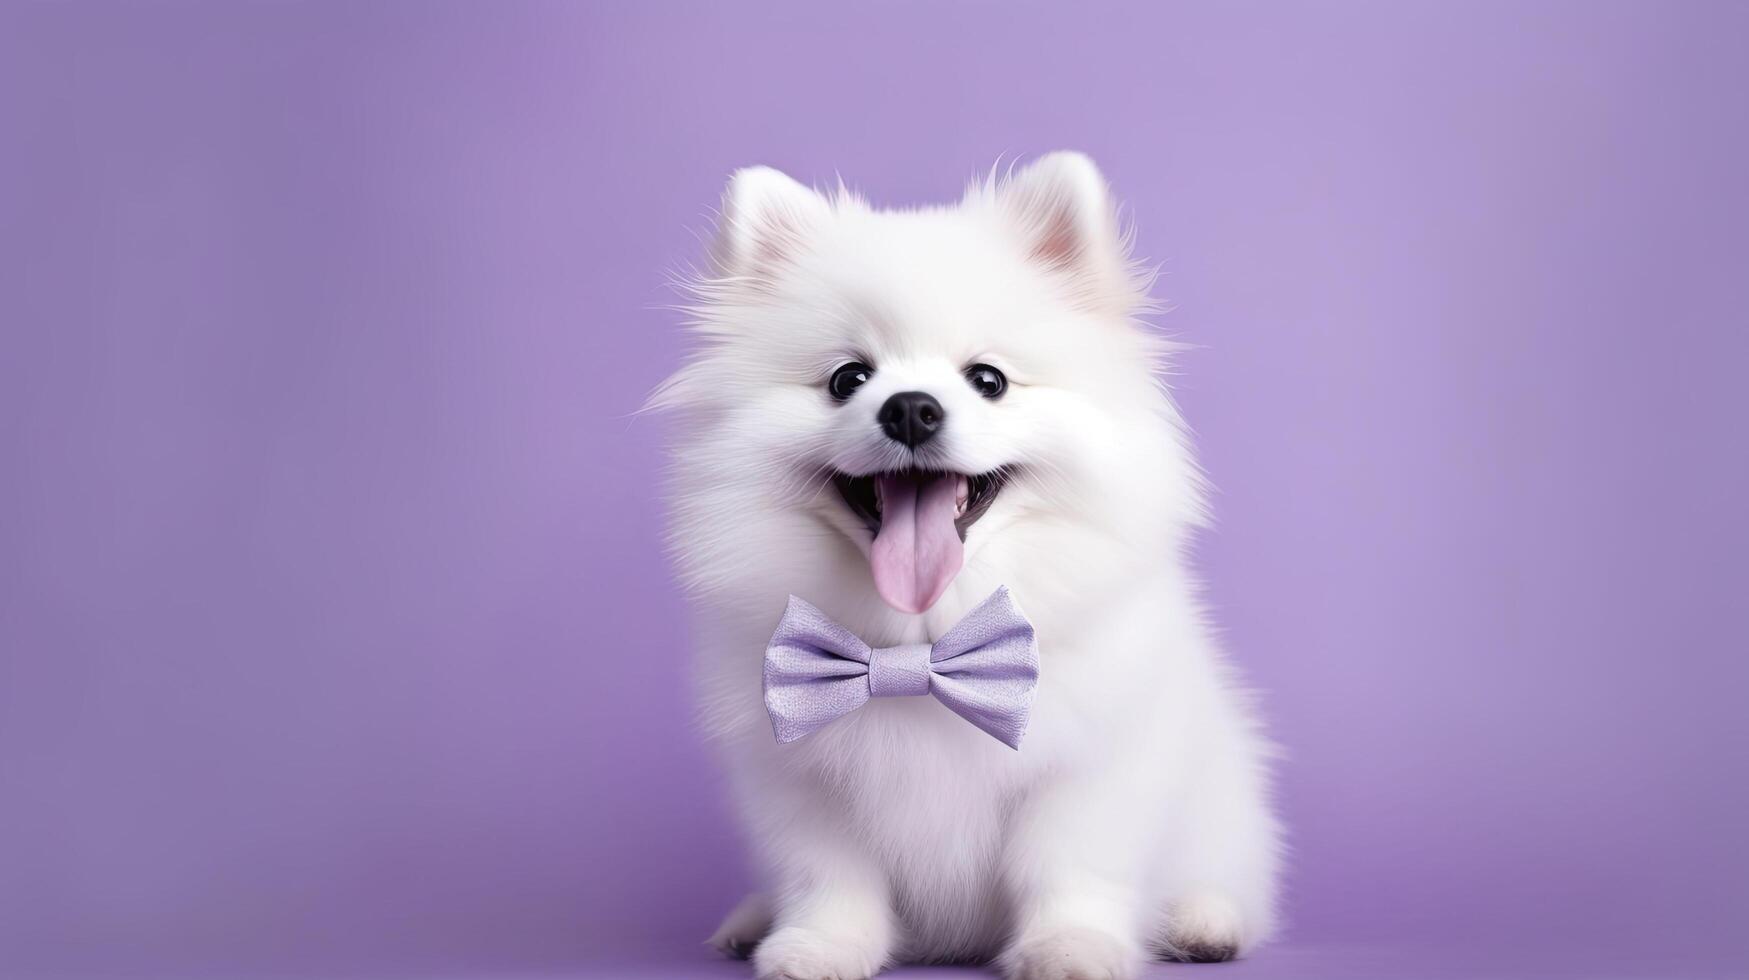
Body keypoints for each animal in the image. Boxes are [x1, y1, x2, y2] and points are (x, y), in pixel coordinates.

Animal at [650, 153, 1280, 980]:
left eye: (988, 380)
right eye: (847, 379)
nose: (910, 408)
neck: (921, 642)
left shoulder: (1085, 770)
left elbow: (1067, 867)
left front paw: (1069, 949)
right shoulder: (803, 782)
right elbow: (830, 876)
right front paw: (820, 946)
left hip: (1219, 812)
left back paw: (1200, 922)